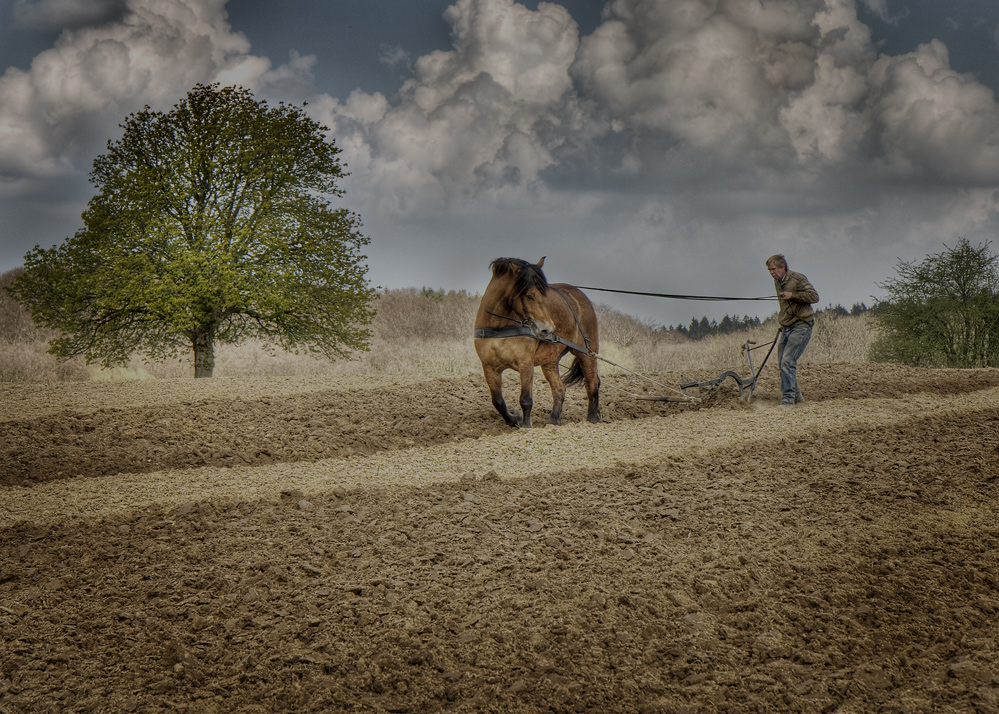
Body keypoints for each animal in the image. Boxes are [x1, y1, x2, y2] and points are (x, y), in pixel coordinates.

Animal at [474, 256, 600, 426]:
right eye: (529, 296)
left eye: (545, 296)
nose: (548, 329)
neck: (498, 327)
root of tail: (579, 296)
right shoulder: (489, 367)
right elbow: (498, 401)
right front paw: (514, 420)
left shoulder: (525, 364)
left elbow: (526, 399)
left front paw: (526, 426)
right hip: (550, 360)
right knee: (559, 388)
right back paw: (553, 421)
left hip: (586, 352)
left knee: (592, 383)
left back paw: (592, 420)